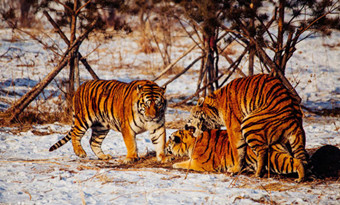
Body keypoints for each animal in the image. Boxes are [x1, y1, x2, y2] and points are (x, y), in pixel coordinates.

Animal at [167, 131, 306, 182]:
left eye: (168, 141)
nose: (165, 147)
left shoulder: (201, 164)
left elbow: (186, 163)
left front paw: (175, 164)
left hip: (275, 160)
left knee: (297, 162)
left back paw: (300, 178)